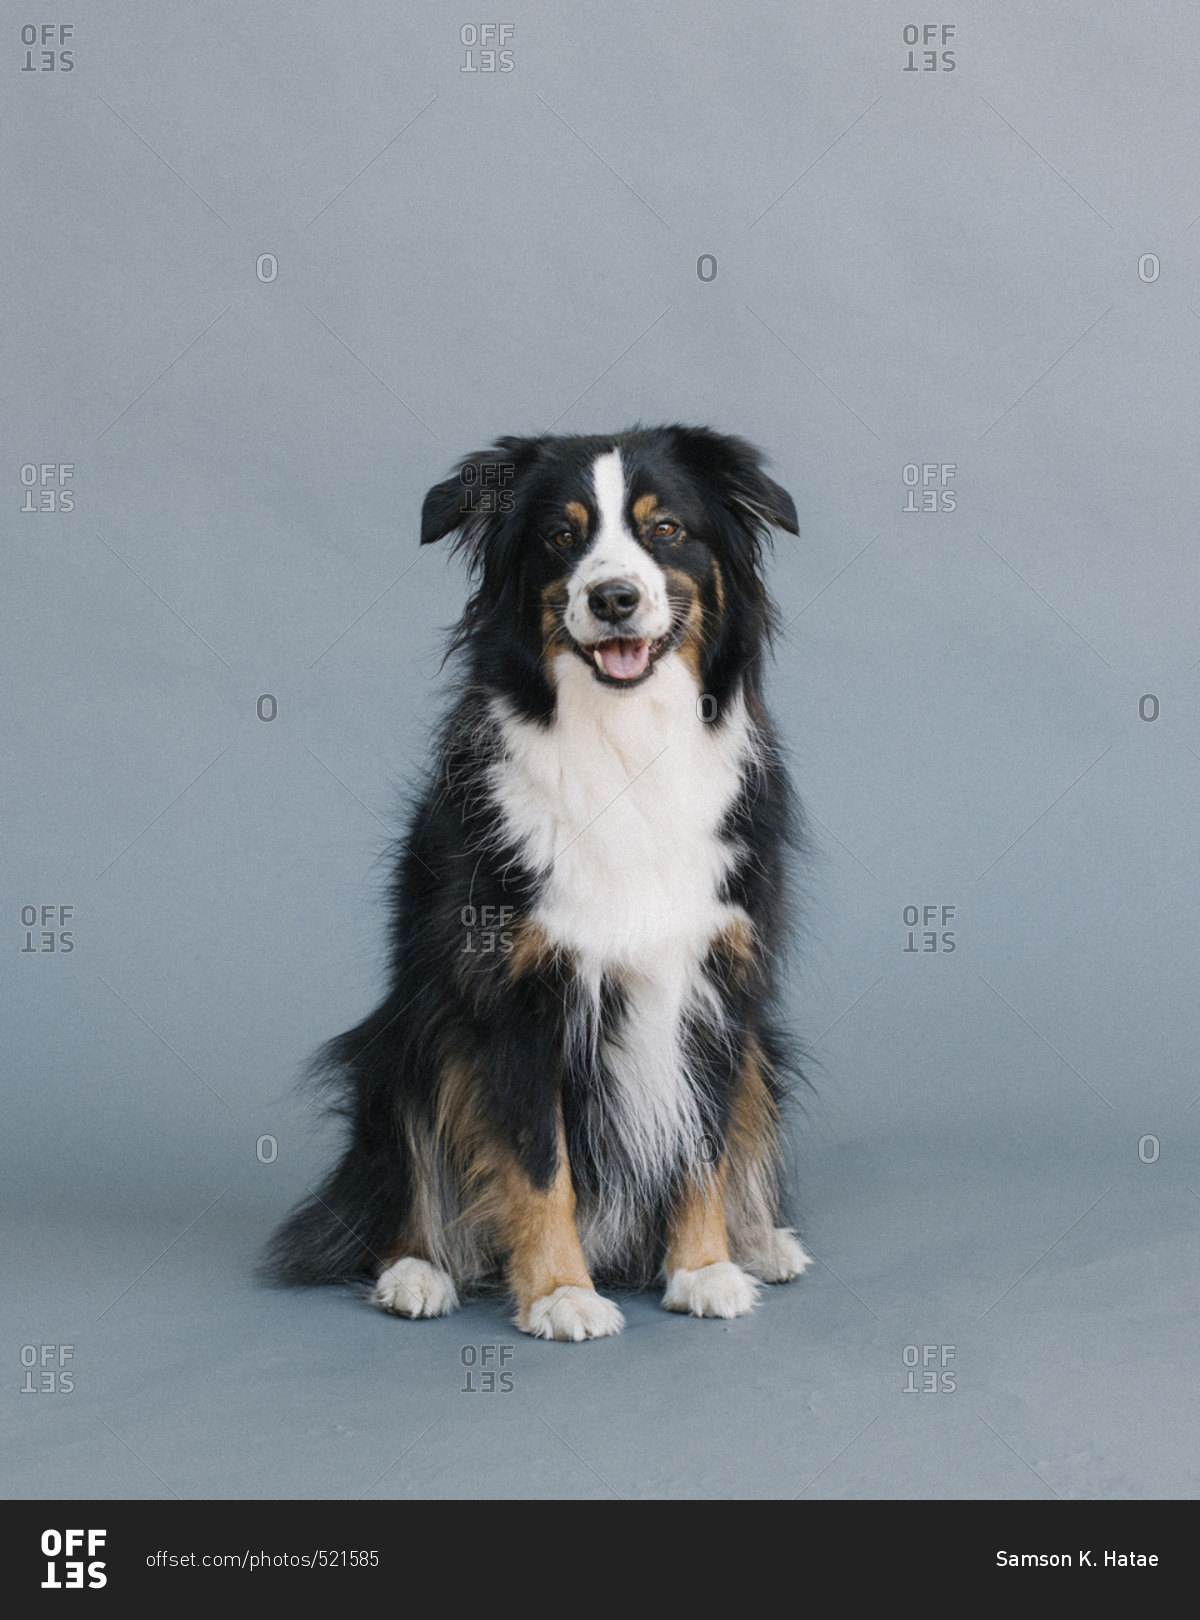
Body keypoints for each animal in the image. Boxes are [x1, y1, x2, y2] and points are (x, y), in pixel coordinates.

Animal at [267, 424, 812, 1334]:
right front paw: (560, 1292)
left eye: (666, 530)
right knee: (404, 1182)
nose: (614, 598)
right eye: (562, 536)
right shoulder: (514, 998)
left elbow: (698, 1144)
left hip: (763, 1050)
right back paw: (416, 1272)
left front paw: (704, 1269)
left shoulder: (715, 984)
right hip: (412, 1037)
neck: (625, 749)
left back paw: (762, 1242)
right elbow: (537, 1163)